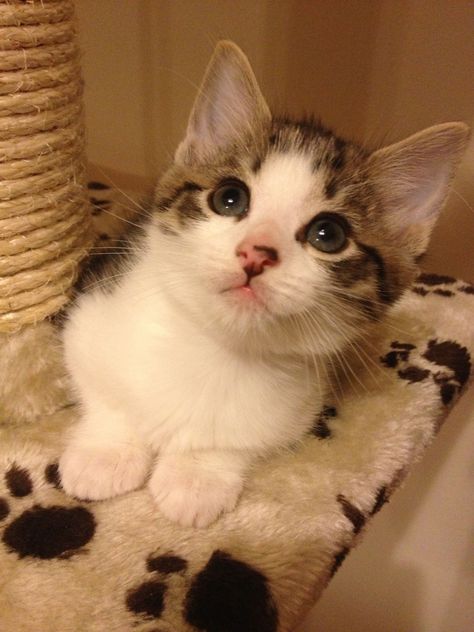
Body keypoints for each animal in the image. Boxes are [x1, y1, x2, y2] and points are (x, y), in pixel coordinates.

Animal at [58, 40, 466, 528]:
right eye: (229, 198)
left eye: (328, 235)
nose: (256, 252)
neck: (216, 350)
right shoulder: (90, 316)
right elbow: (103, 392)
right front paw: (107, 453)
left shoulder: (295, 406)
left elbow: (240, 440)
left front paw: (196, 477)